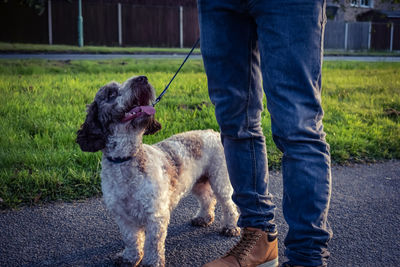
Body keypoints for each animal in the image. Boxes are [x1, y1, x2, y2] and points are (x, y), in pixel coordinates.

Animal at [75, 76, 239, 266]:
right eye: (111, 93)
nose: (142, 78)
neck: (126, 159)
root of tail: (212, 132)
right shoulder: (123, 216)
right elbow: (131, 239)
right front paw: (130, 258)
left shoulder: (155, 215)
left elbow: (153, 244)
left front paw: (152, 262)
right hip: (198, 181)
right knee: (207, 198)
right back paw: (204, 218)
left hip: (220, 178)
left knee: (229, 204)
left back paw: (230, 227)